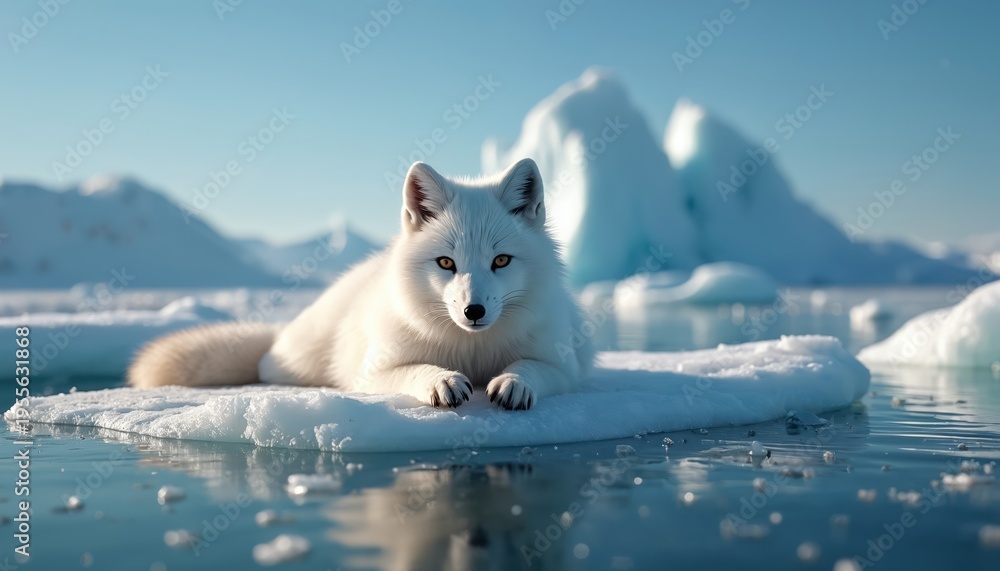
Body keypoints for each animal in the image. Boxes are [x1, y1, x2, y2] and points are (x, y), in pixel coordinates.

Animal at [128, 158, 594, 410]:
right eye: (446, 262)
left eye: (500, 260)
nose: (473, 311)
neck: (473, 352)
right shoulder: (373, 371)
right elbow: (414, 371)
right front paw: (441, 381)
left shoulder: (563, 366)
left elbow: (530, 367)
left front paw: (514, 383)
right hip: (295, 362)